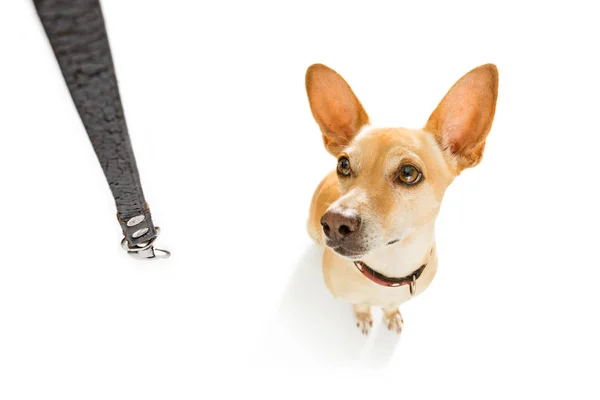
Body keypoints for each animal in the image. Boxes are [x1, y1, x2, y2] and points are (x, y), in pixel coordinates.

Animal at [308, 63, 500, 334]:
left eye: (408, 173)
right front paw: (364, 315)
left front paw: (390, 315)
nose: (335, 222)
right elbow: (360, 304)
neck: (389, 269)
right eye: (343, 164)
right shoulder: (351, 296)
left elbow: (390, 307)